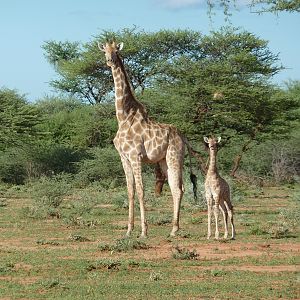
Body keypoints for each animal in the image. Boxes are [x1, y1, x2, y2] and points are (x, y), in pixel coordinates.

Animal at [99, 41, 196, 237]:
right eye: (105, 51)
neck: (123, 116)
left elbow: (141, 190)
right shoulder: (124, 157)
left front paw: (143, 231)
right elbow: (130, 191)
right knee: (176, 188)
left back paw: (174, 229)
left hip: (174, 157)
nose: (109, 61)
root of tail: (183, 137)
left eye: (116, 51)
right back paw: (174, 228)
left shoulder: (135, 156)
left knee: (178, 188)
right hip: (165, 160)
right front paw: (129, 230)